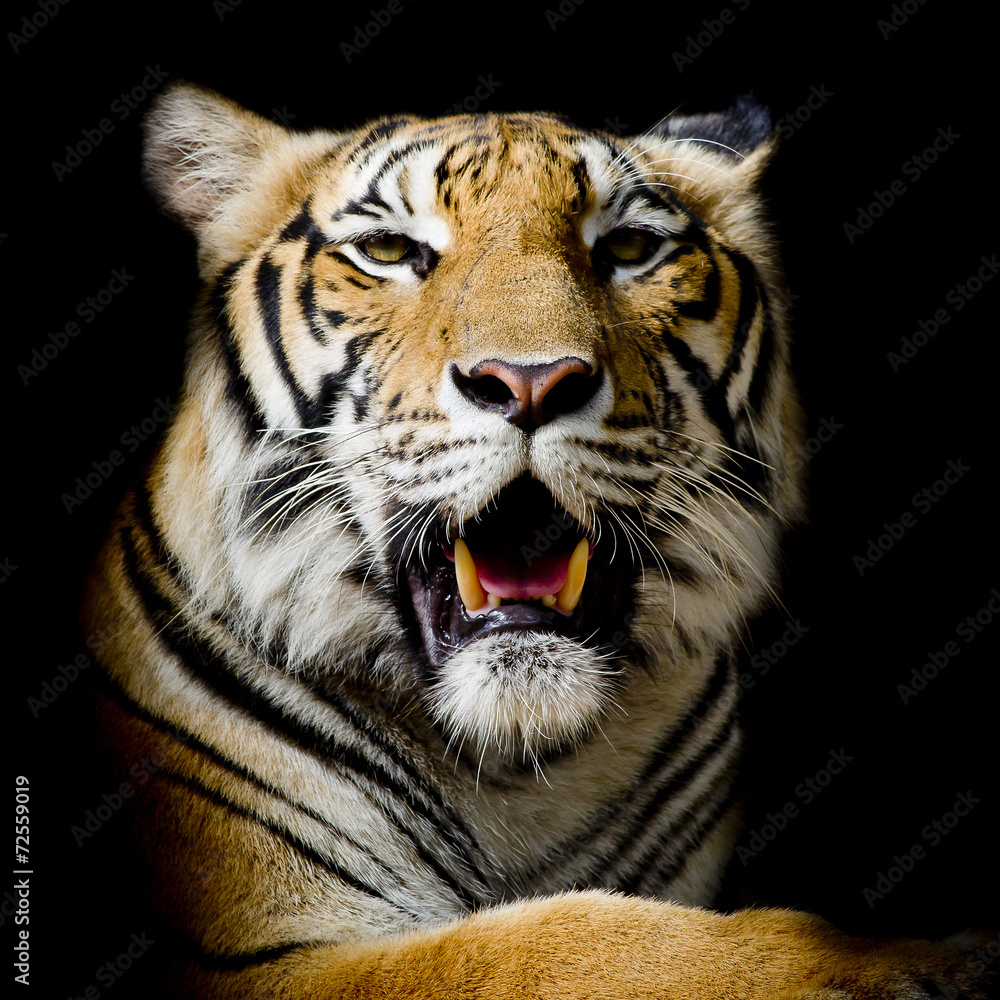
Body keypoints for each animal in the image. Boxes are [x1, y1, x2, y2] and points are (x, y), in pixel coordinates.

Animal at [80, 81, 994, 999]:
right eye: (389, 250)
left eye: (628, 247)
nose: (529, 383)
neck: (520, 772)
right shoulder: (262, 958)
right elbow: (576, 940)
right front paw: (896, 962)